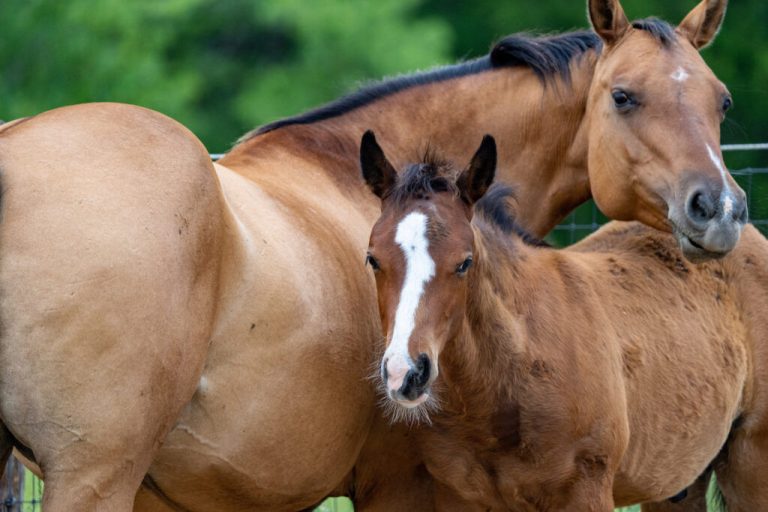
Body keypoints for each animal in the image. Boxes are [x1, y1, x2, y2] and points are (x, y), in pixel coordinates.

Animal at [361, 132, 768, 511]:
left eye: (464, 262)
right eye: (372, 259)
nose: (405, 373)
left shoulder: (585, 492)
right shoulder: (457, 498)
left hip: (750, 464)